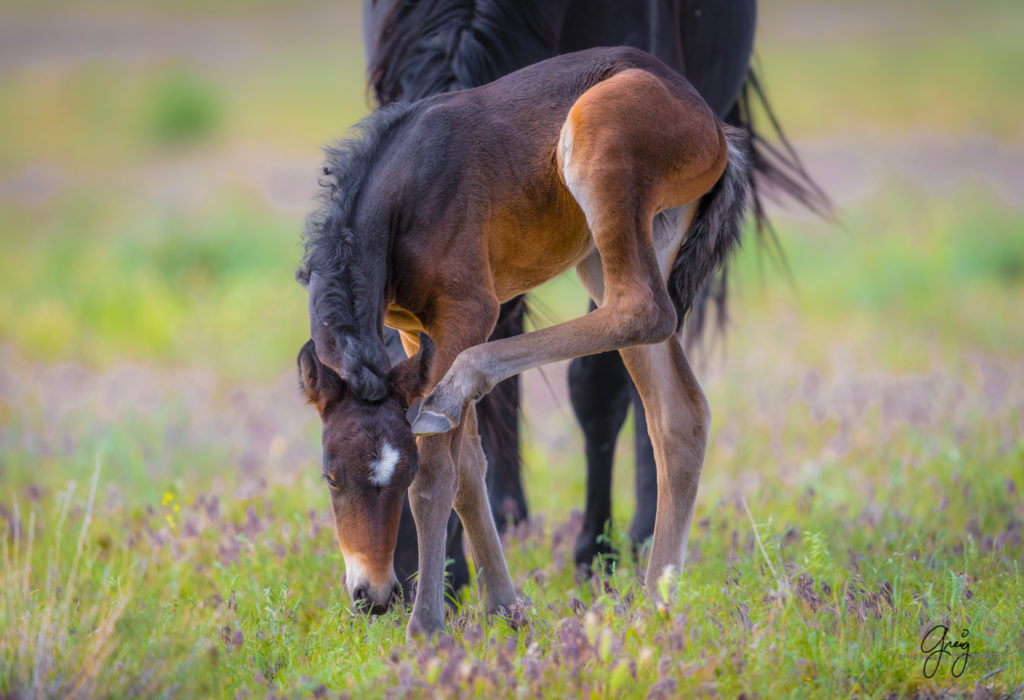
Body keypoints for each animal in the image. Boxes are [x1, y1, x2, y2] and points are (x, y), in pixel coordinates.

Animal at [296, 46, 745, 638]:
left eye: (400, 473)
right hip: (625, 243)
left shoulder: (465, 315)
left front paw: (427, 627)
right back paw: (656, 605)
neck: (403, 197)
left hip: (599, 151)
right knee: (679, 410)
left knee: (644, 309)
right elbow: (468, 471)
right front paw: (504, 609)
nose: (372, 597)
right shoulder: (415, 334)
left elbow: (438, 475)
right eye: (330, 476)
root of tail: (714, 125)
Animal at [358, 0, 823, 589]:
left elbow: (596, 384)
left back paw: (645, 546)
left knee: (655, 349)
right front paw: (452, 566)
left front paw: (592, 553)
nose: (386, 588)